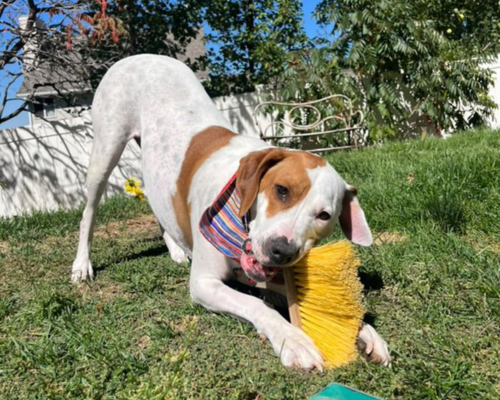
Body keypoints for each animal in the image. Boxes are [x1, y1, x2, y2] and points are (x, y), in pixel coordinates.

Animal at [71, 54, 390, 370]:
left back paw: (175, 250)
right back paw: (82, 265)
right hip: (106, 148)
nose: (281, 250)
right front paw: (292, 339)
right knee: (89, 211)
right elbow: (255, 303)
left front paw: (363, 330)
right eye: (281, 190)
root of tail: (137, 56)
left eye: (324, 215)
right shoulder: (203, 283)